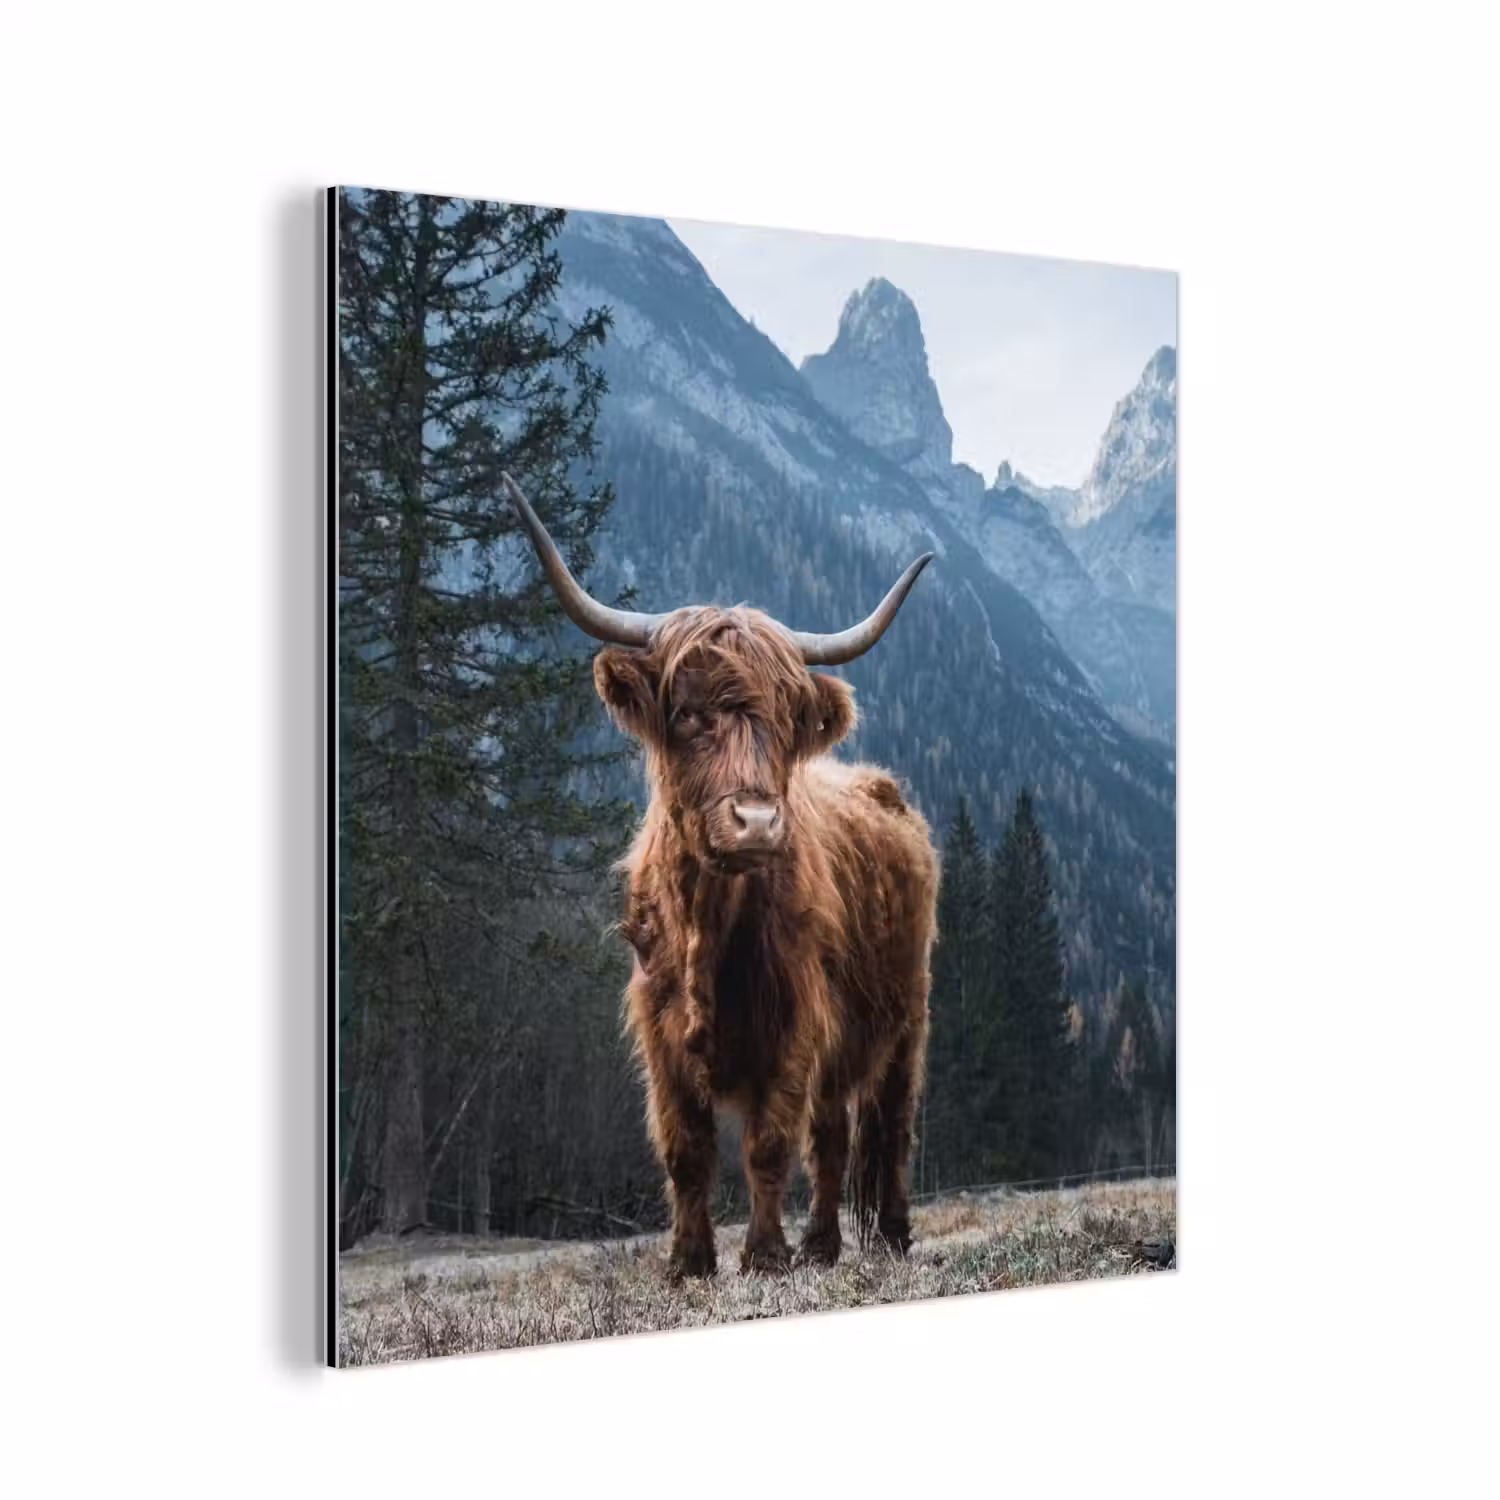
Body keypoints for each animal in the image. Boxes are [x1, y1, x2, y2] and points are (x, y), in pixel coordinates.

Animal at [503, 474, 940, 1278]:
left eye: (787, 718)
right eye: (686, 712)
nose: (758, 823)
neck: (709, 923)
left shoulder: (796, 1022)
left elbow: (768, 1145)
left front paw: (764, 1255)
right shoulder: (659, 1030)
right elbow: (687, 1150)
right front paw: (689, 1261)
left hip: (907, 1017)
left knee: (888, 1126)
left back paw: (887, 1235)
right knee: (832, 1137)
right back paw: (823, 1246)